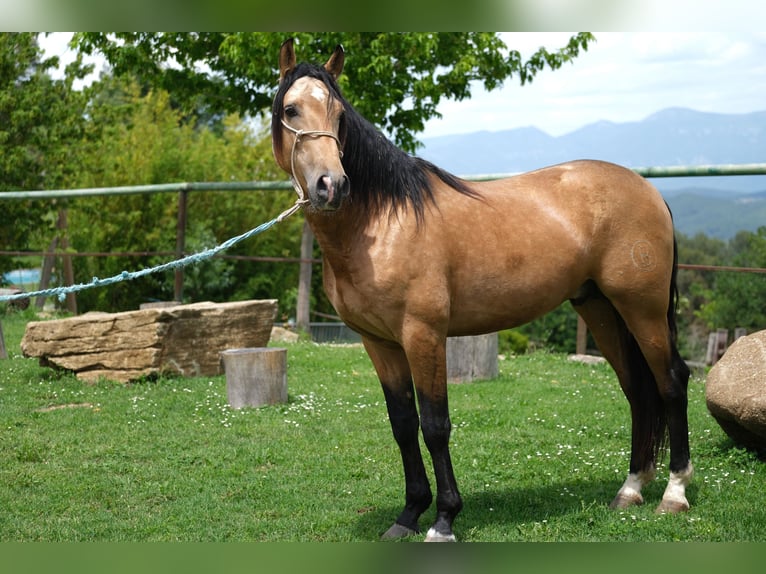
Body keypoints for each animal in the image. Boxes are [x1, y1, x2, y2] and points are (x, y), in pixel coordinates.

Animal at [272, 40, 696, 544]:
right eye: (291, 109)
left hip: (642, 309)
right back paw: (630, 490)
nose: (332, 185)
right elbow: (403, 425)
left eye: (338, 113)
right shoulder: (379, 343)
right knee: (636, 390)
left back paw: (674, 494)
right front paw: (408, 515)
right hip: (601, 309)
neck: (381, 223)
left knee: (671, 382)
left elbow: (435, 425)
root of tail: (648, 190)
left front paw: (443, 520)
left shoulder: (423, 336)